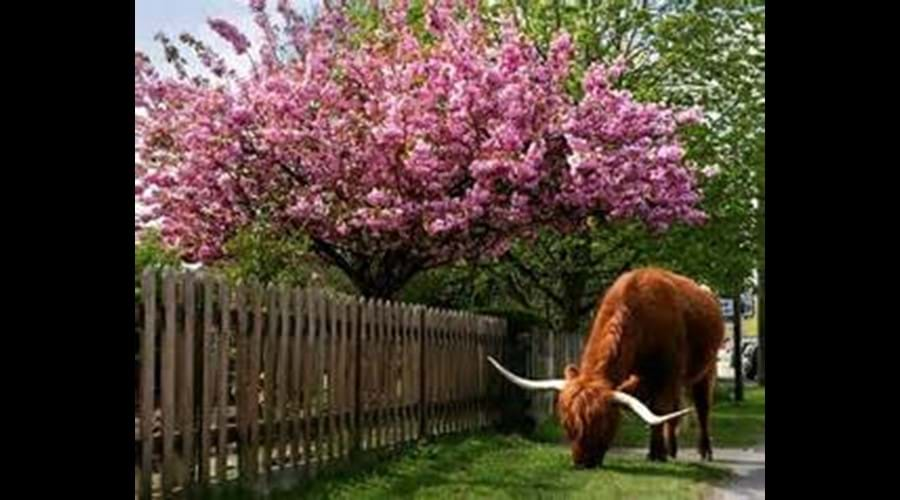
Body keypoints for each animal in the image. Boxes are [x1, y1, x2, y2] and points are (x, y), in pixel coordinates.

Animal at [486, 268, 724, 466]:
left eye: (602, 424)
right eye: (567, 424)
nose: (582, 463)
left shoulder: (667, 374)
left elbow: (658, 410)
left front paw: (656, 454)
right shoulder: (641, 378)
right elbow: (652, 409)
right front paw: (658, 451)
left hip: (704, 372)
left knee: (702, 408)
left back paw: (704, 451)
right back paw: (672, 448)